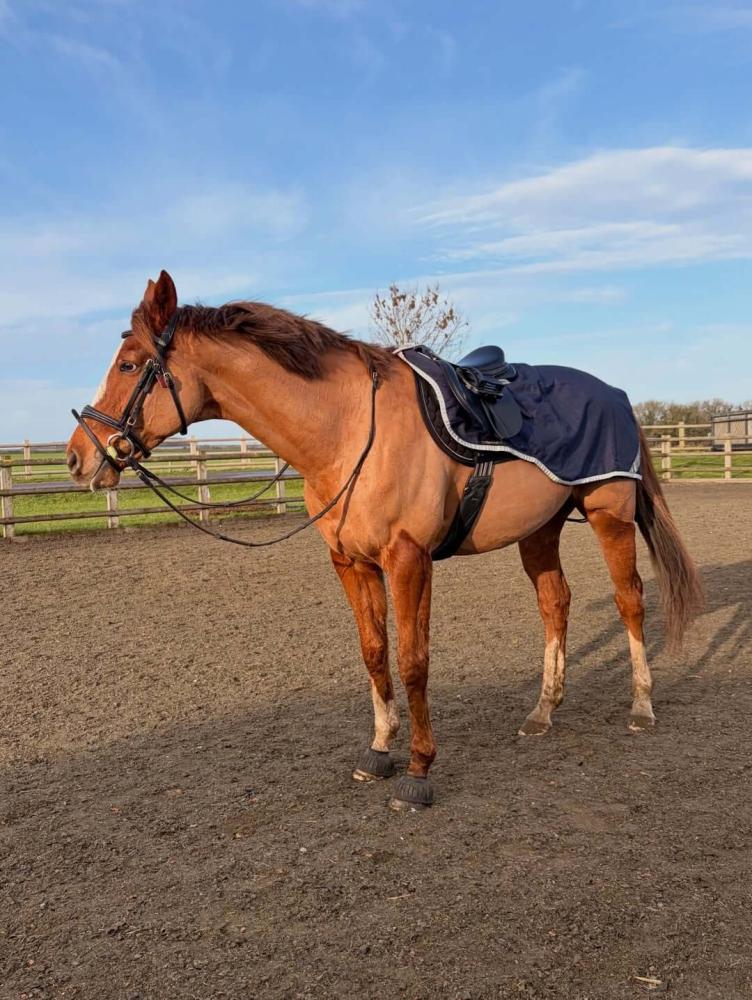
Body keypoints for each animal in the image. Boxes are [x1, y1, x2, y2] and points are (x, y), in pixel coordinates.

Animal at [66, 270, 704, 810]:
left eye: (129, 365)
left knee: (630, 599)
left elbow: (414, 660)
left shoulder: (409, 560)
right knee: (556, 604)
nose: (77, 457)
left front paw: (419, 772)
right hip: (539, 531)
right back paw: (543, 713)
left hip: (609, 516)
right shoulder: (350, 562)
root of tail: (616, 393)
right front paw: (378, 752)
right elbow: (374, 652)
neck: (347, 429)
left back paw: (641, 705)